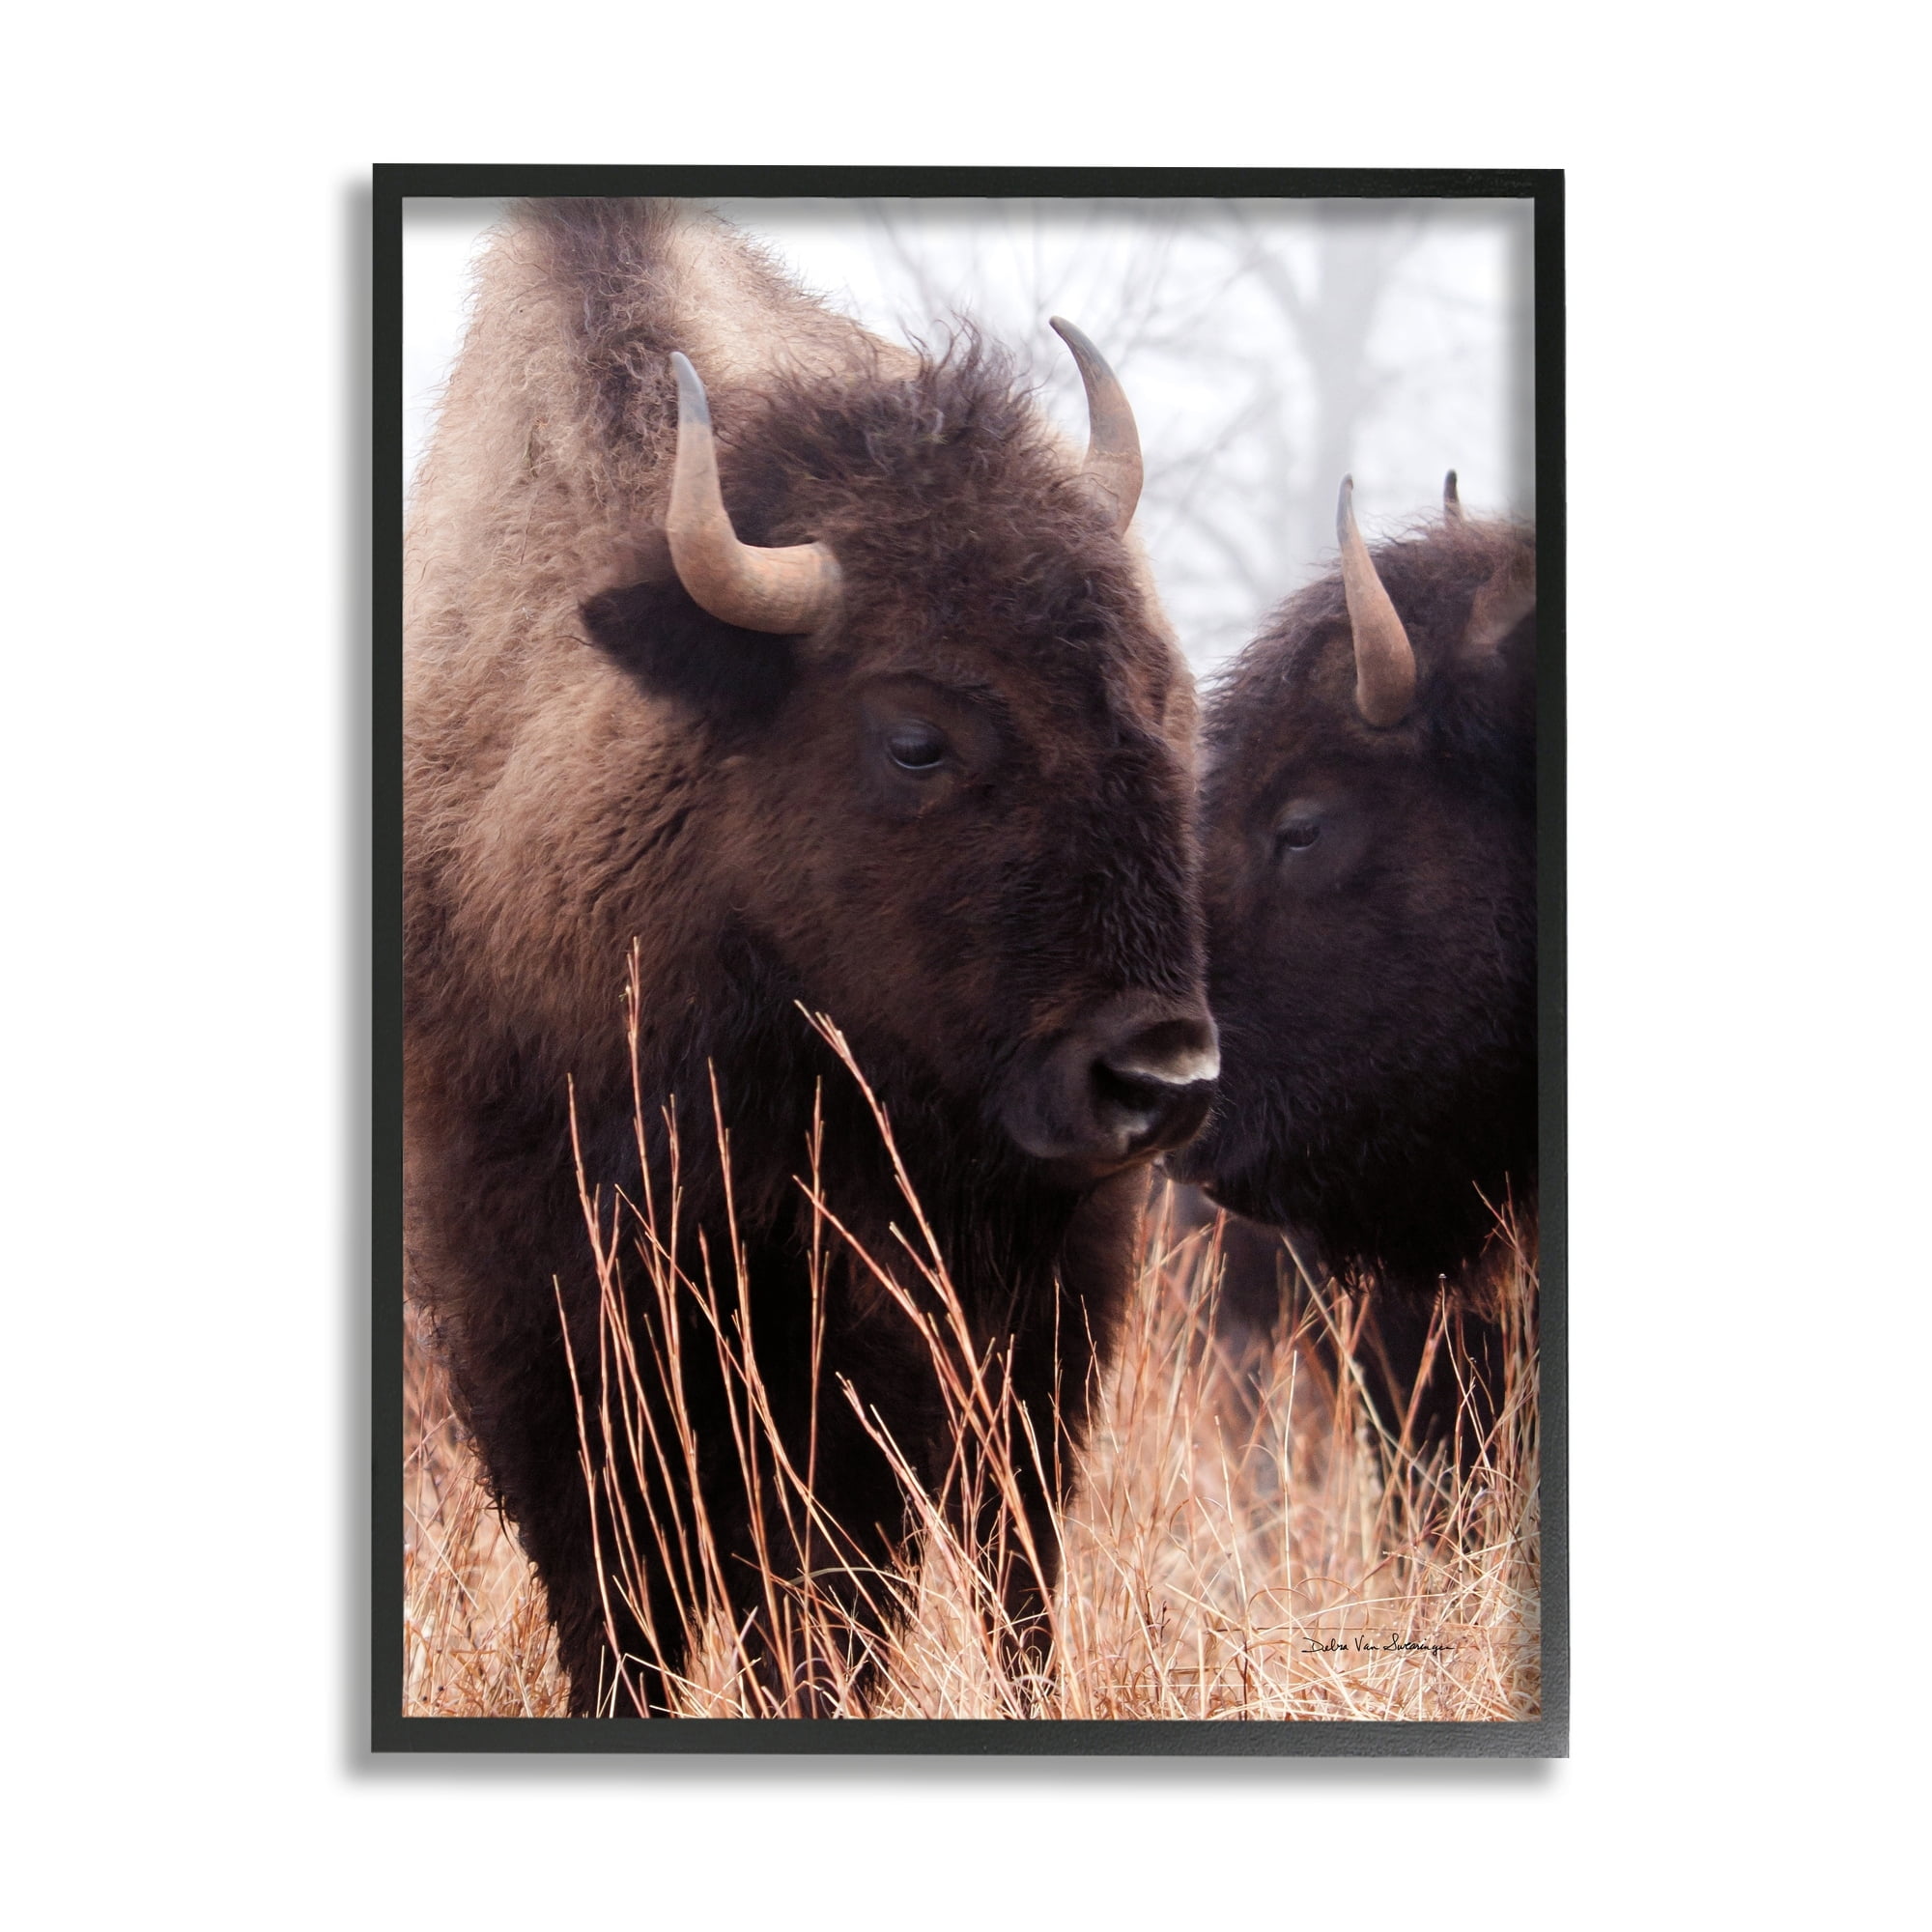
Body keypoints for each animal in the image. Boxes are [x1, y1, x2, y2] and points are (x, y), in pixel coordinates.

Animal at [403, 199, 1217, 1715]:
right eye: (915, 737)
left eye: (1162, 701)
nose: (1160, 1076)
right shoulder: (528, 1303)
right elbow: (616, 1592)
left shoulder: (866, 1333)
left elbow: (832, 1594)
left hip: (1056, 1310)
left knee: (1014, 1558)